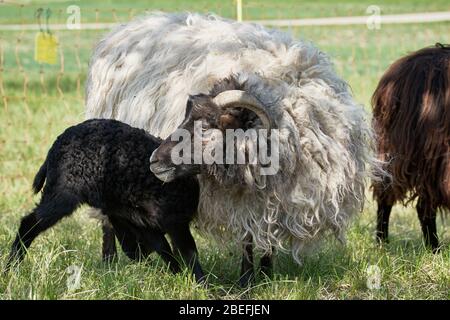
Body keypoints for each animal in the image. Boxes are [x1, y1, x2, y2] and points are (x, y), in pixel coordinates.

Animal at [6, 119, 204, 282]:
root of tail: (54, 147)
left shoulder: (143, 222)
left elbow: (163, 248)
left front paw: (177, 274)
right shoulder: (173, 219)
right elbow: (189, 252)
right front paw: (200, 284)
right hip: (62, 194)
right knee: (29, 222)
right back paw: (11, 267)